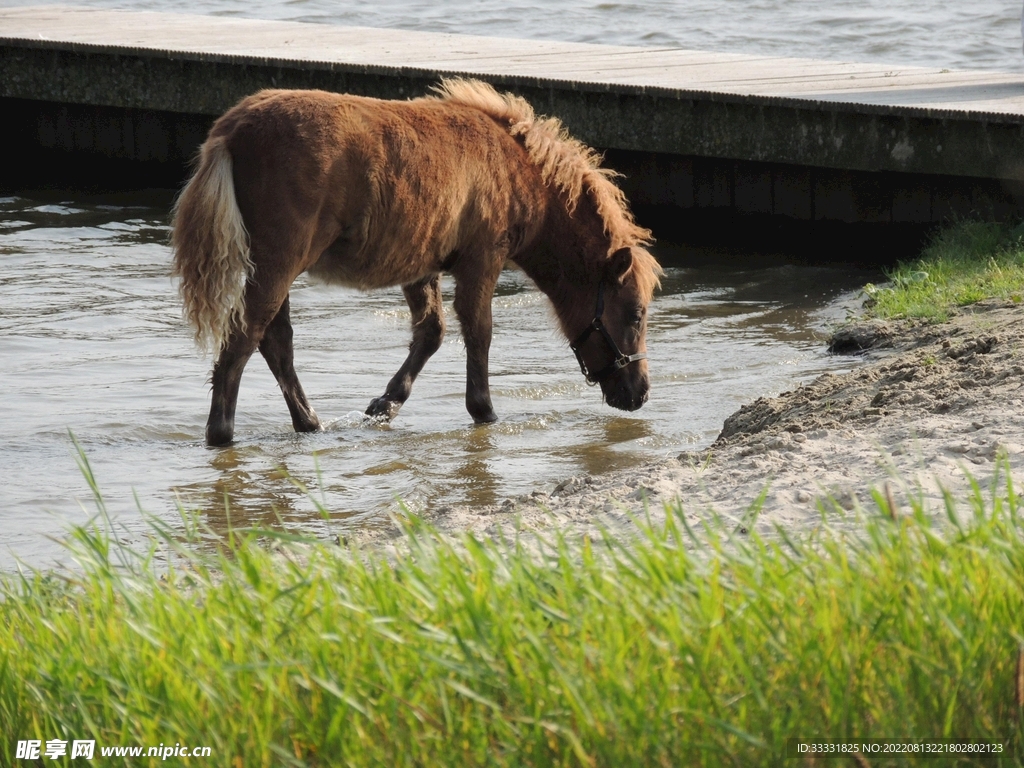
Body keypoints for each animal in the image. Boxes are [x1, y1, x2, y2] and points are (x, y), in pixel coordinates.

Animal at [171, 78, 662, 446]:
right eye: (636, 314)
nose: (639, 394)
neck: (517, 168)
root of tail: (232, 130)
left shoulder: (421, 263)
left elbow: (431, 333)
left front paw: (385, 405)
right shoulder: (482, 258)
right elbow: (479, 332)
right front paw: (484, 411)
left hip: (274, 267)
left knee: (275, 342)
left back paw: (309, 423)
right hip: (279, 261)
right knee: (242, 342)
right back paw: (223, 435)